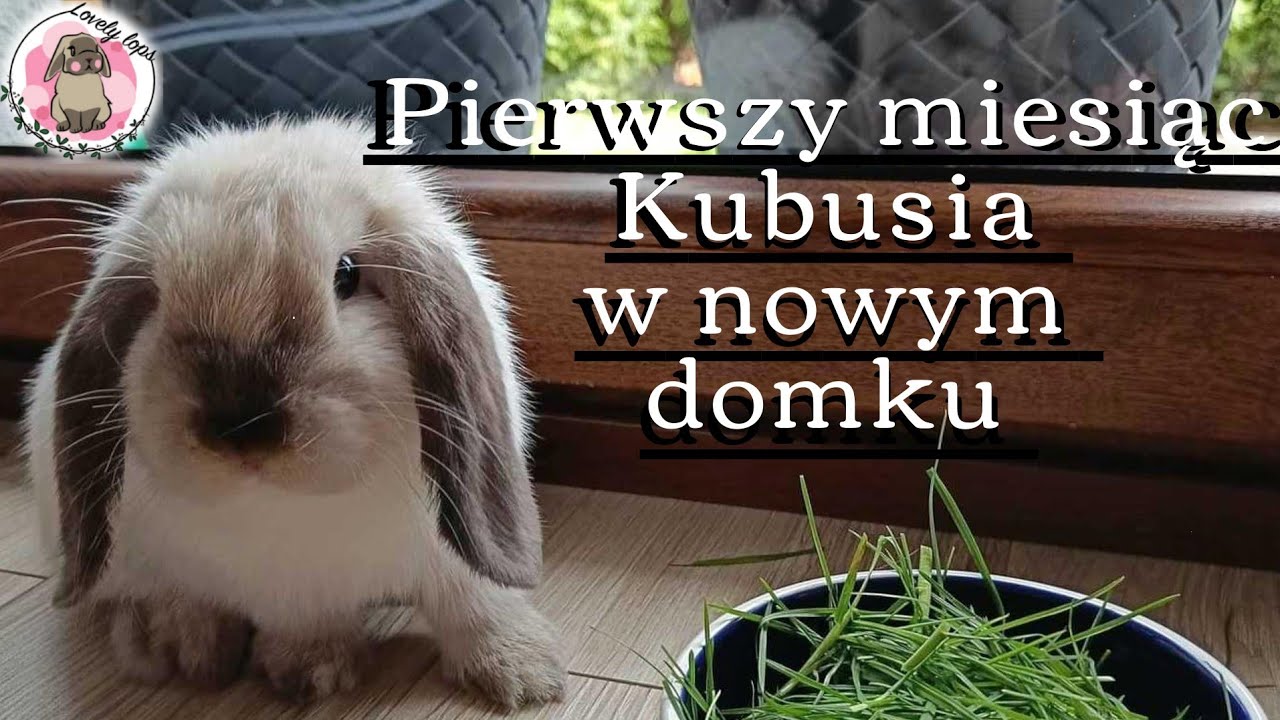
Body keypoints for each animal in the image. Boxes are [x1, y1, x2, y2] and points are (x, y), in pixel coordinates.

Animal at [22, 116, 566, 706]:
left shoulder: (449, 559)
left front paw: (526, 674)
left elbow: (477, 605)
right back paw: (183, 649)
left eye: (347, 276)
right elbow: (308, 621)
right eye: (158, 296)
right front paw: (312, 671)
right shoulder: (289, 589)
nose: (240, 425)